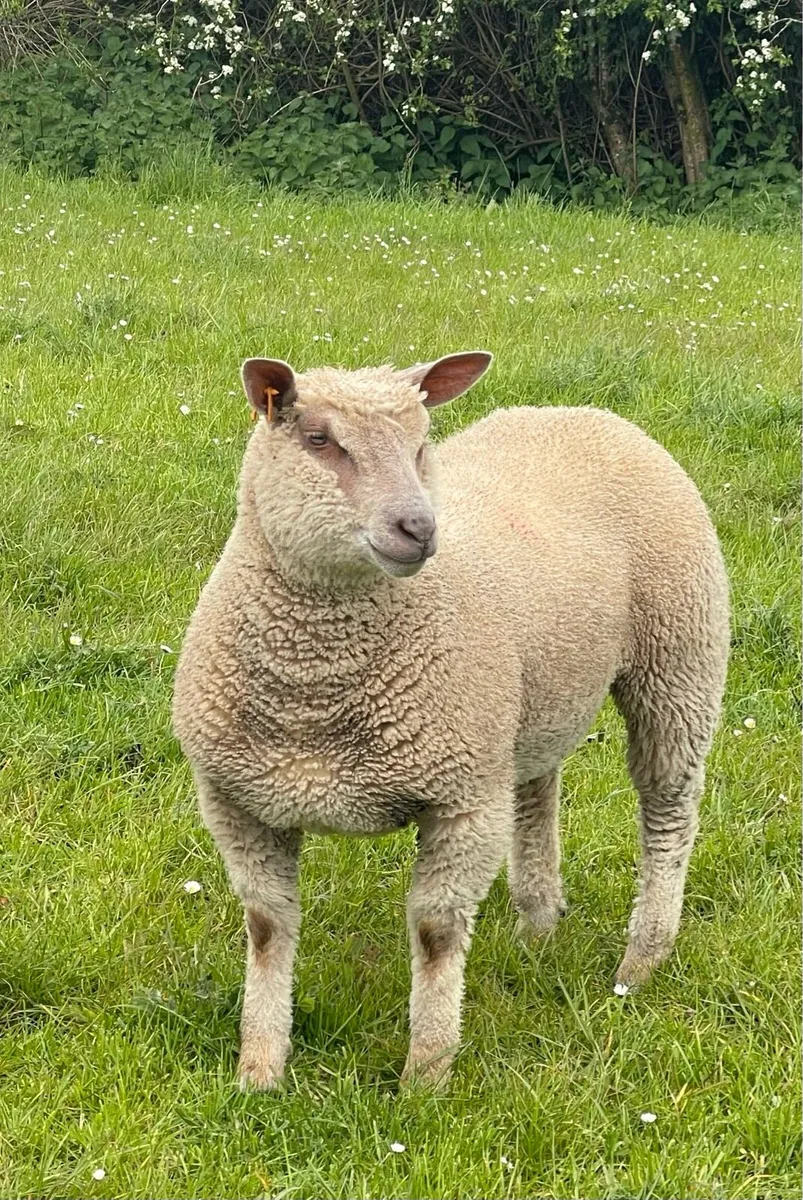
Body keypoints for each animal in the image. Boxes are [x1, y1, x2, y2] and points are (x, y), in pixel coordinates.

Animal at [172, 351, 729, 1091]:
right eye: (319, 439)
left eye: (421, 443)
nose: (419, 528)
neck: (315, 693)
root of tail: (584, 413)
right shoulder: (237, 801)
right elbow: (267, 927)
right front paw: (259, 1069)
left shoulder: (462, 800)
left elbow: (436, 934)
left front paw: (426, 1074)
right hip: (528, 703)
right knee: (537, 792)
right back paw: (537, 926)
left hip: (678, 655)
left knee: (668, 803)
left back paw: (641, 958)